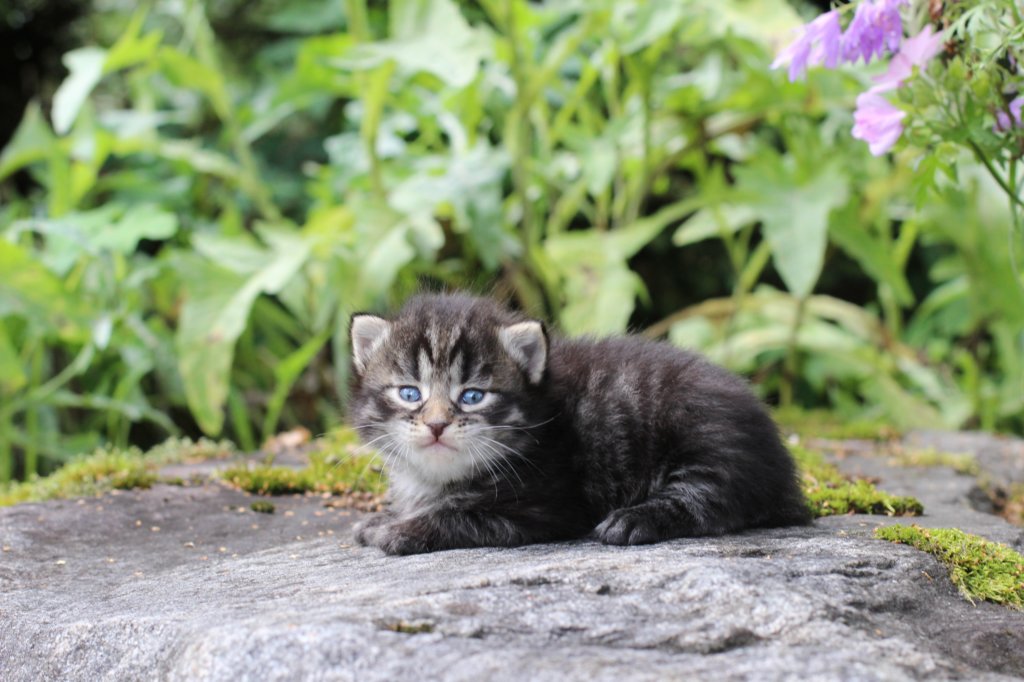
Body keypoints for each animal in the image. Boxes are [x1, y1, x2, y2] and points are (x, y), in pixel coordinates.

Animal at [348, 293, 810, 555]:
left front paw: (401, 530)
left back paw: (633, 520)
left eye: (473, 396)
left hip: (707, 434)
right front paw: (385, 518)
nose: (437, 425)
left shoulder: (545, 505)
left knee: (715, 498)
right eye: (410, 393)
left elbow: (461, 515)